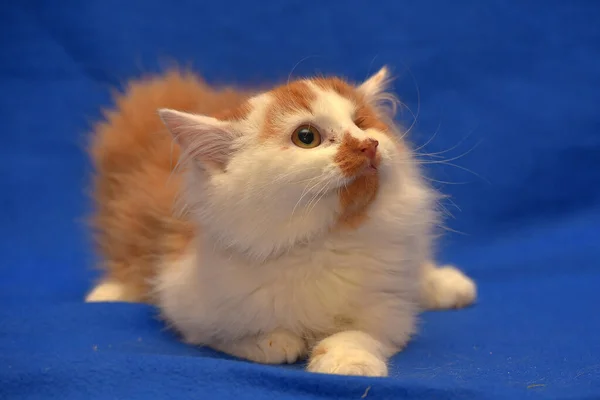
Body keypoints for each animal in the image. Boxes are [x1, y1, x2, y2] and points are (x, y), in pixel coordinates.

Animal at [85, 67, 478, 376]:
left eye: (361, 123)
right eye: (307, 137)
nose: (368, 145)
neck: (323, 241)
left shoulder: (388, 307)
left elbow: (359, 335)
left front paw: (347, 363)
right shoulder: (187, 301)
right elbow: (231, 336)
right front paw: (276, 341)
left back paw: (448, 286)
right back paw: (108, 293)